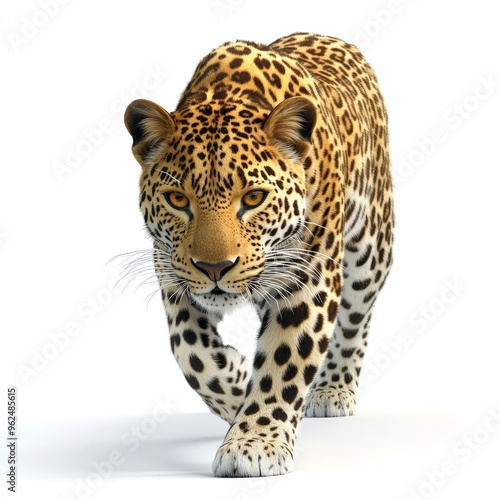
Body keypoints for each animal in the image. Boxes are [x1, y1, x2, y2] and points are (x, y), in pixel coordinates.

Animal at [123, 31, 392, 476]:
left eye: (253, 198)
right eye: (178, 199)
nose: (215, 267)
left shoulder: (309, 277)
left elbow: (285, 361)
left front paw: (254, 444)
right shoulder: (172, 272)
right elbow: (191, 352)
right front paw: (235, 387)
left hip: (371, 244)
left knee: (357, 315)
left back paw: (333, 388)